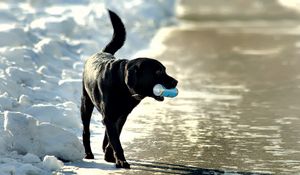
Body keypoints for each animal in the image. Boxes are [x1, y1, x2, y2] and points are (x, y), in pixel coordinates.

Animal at [80, 9, 178, 168]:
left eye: (165, 70)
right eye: (158, 72)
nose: (176, 81)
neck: (123, 85)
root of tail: (101, 52)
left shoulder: (122, 116)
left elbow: (114, 137)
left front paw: (110, 155)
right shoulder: (110, 115)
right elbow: (115, 140)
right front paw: (121, 160)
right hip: (86, 103)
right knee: (86, 130)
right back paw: (88, 153)